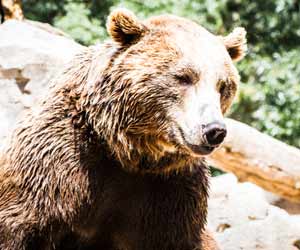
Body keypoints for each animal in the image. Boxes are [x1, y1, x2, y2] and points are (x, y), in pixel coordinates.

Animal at [0, 8, 246, 250]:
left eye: (223, 85)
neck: (128, 153)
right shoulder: (56, 168)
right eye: (184, 77)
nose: (214, 130)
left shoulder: (171, 191)